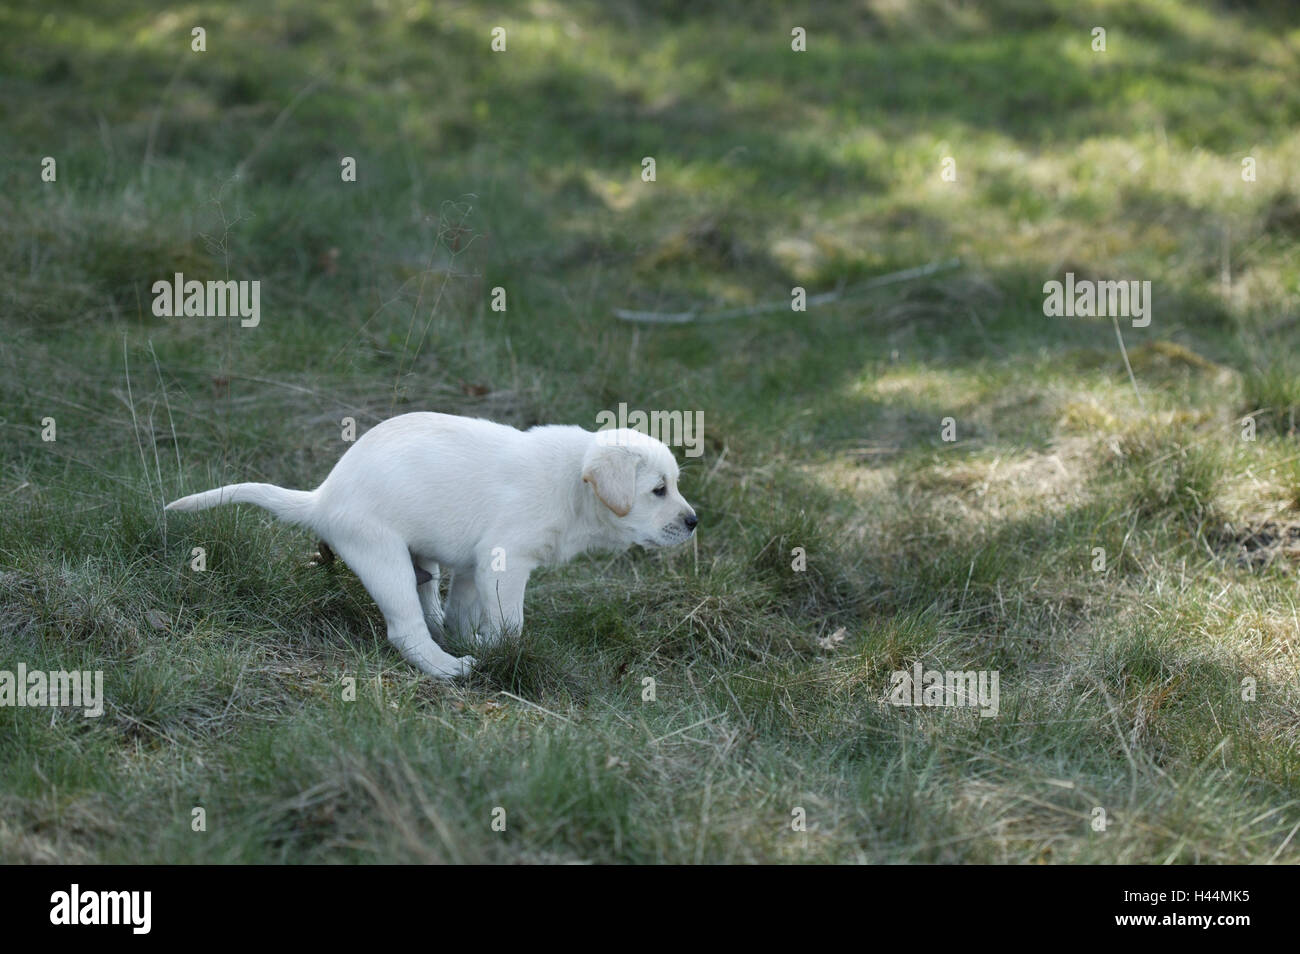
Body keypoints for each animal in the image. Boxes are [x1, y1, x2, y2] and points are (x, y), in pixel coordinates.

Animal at [166, 415, 696, 681]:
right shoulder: (503, 561)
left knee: (429, 605)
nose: (694, 522)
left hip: (423, 561)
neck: (571, 483)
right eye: (658, 490)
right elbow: (511, 623)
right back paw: (448, 667)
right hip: (385, 560)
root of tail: (322, 498)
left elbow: (466, 613)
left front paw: (472, 638)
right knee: (407, 632)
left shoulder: (471, 567)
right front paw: (494, 651)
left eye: (674, 485)